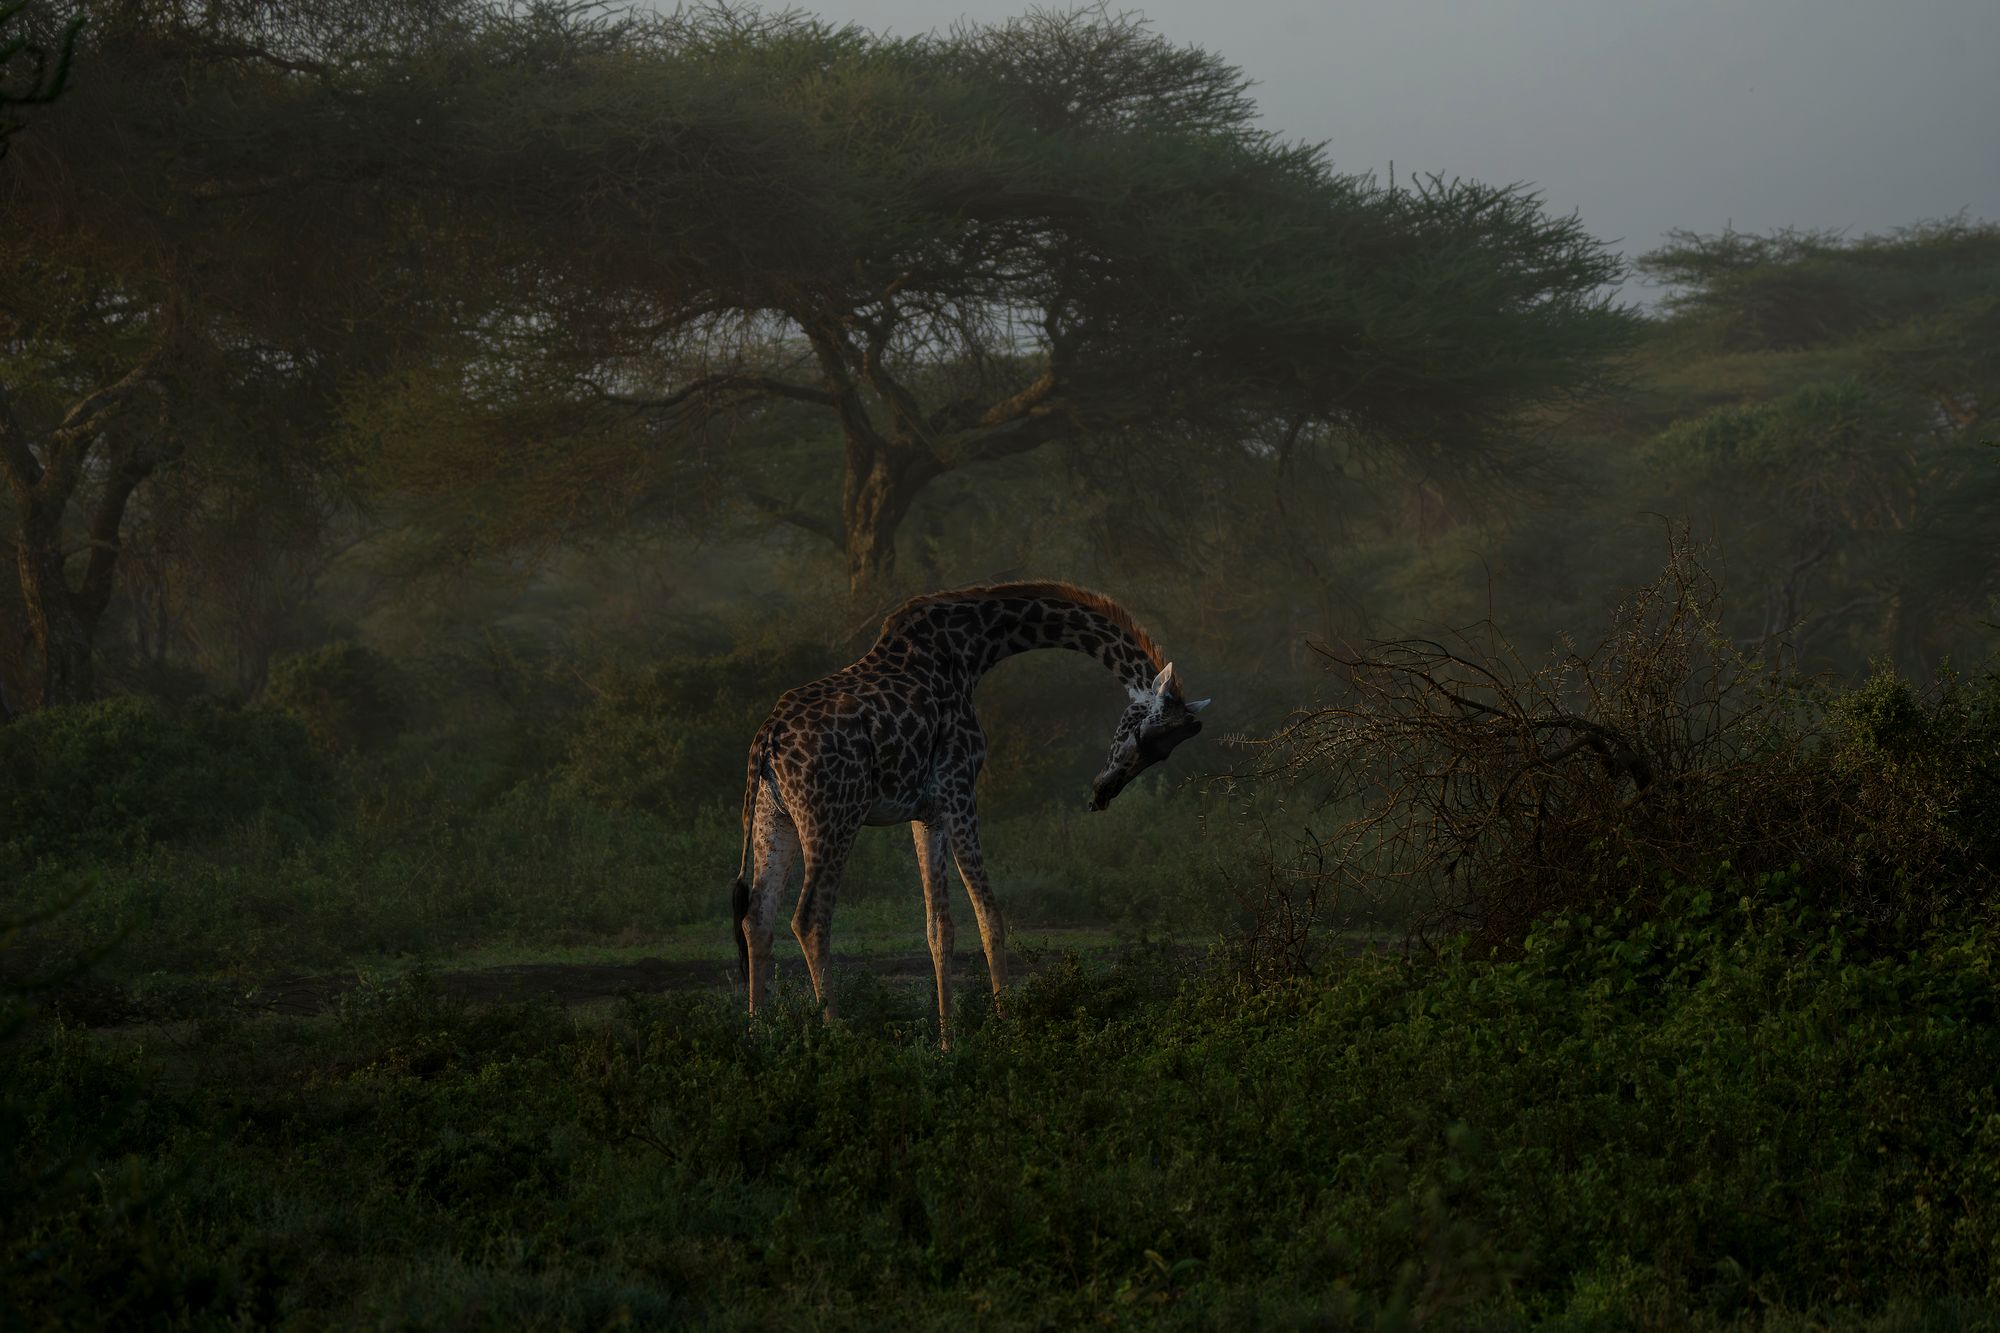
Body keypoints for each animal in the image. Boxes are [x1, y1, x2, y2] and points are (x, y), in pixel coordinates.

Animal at [729, 581, 1209, 1044]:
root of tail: (766, 741)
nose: (1103, 792)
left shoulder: (927, 812)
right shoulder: (959, 789)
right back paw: (834, 1034)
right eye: (1143, 732)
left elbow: (938, 928)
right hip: (833, 815)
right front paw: (1006, 1024)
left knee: (757, 918)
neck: (974, 648)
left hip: (774, 819)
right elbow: (990, 917)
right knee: (810, 919)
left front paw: (947, 1042)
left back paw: (757, 1034)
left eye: (1163, 752)